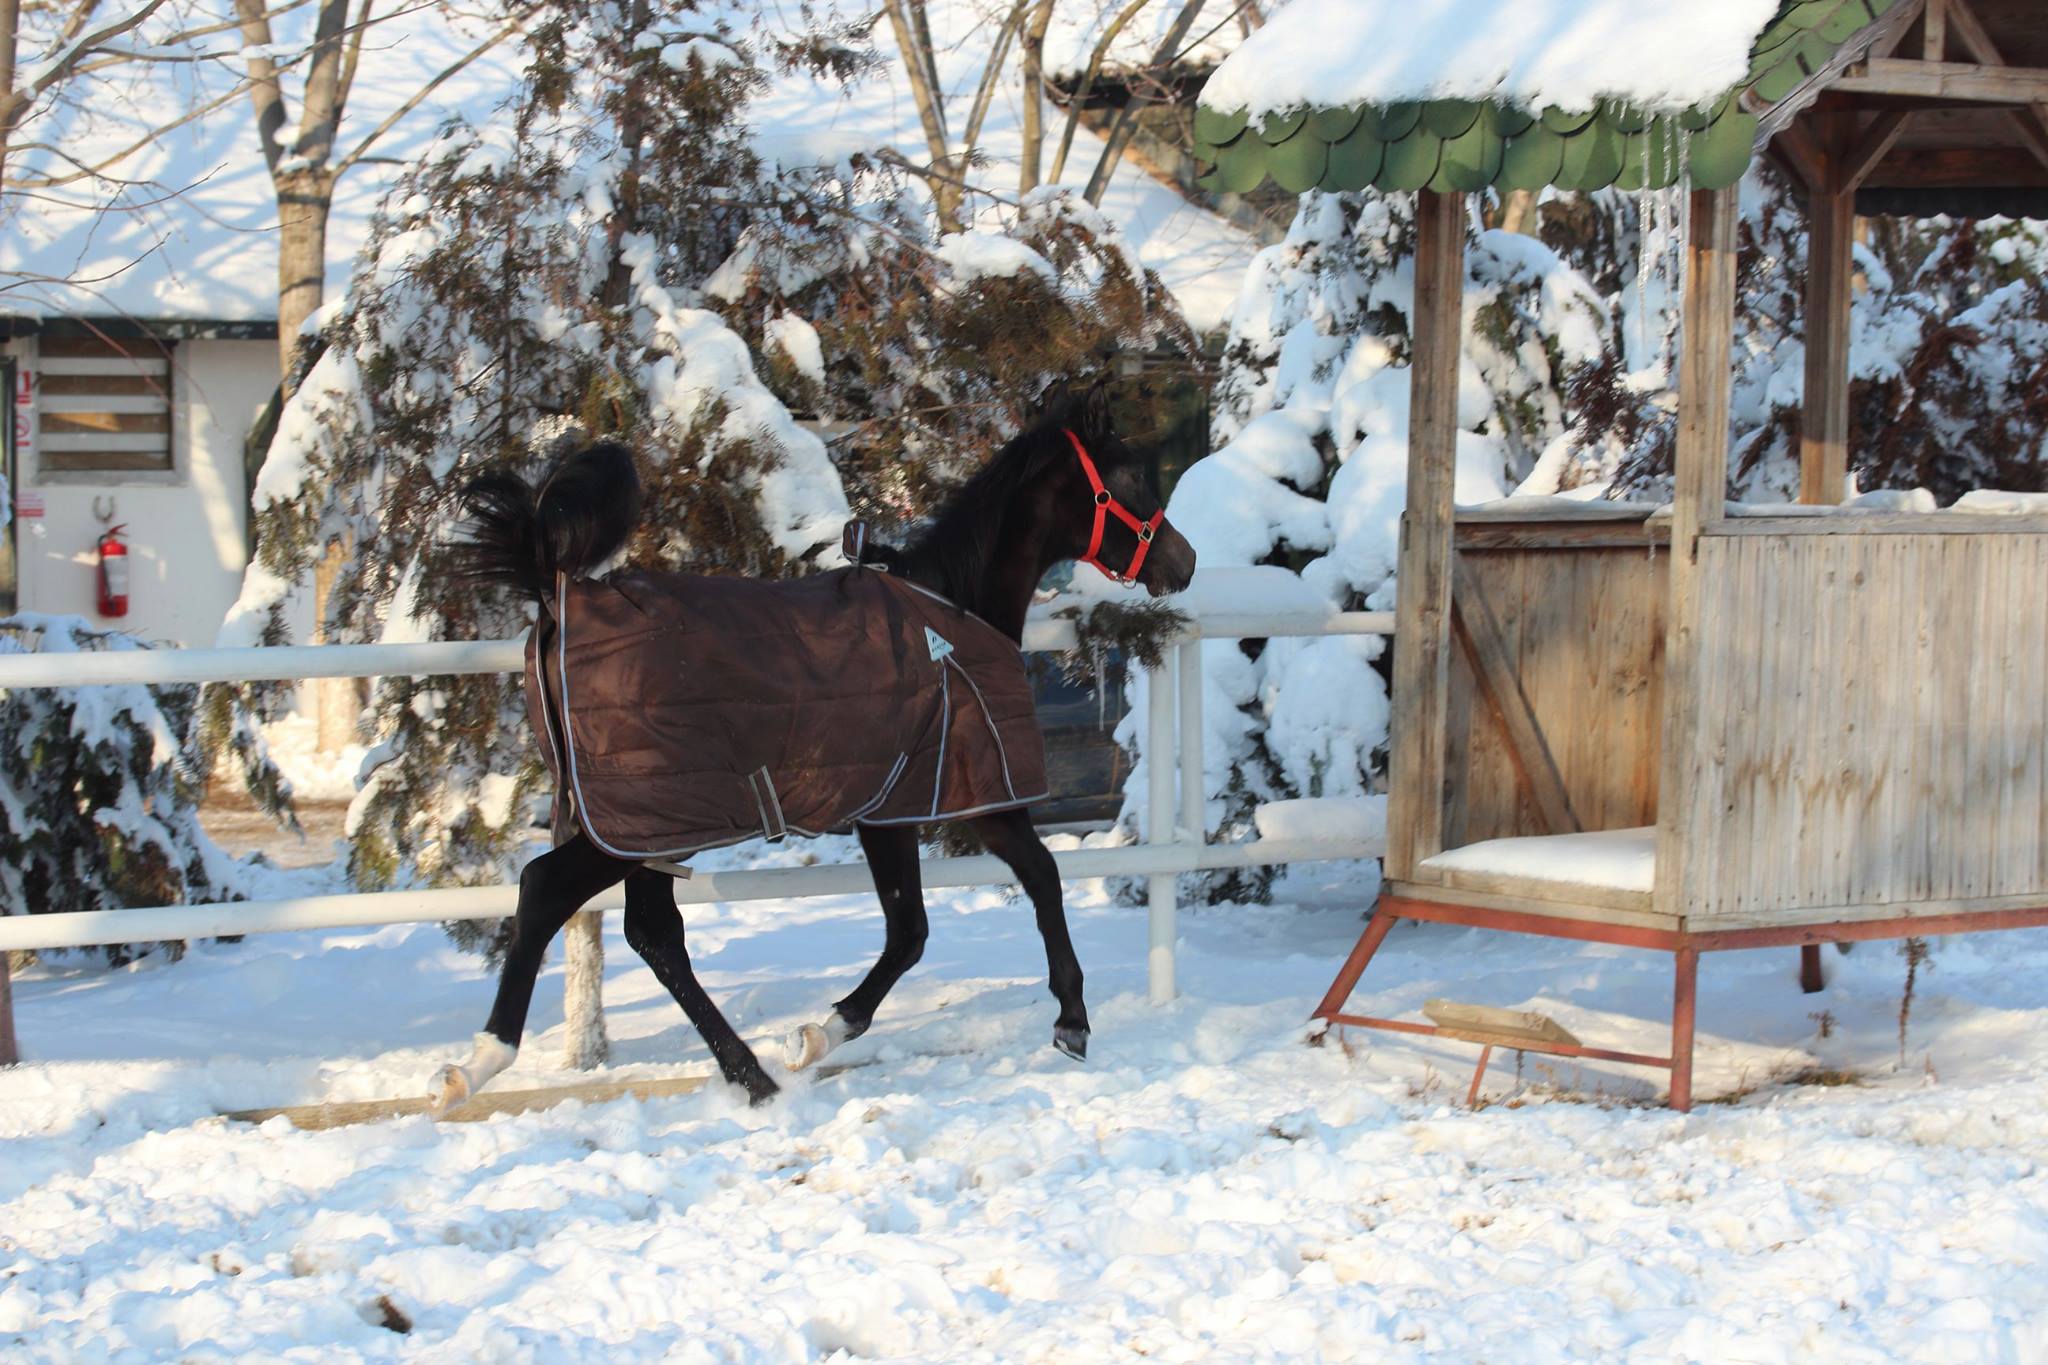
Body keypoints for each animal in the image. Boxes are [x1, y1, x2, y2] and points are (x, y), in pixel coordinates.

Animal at [427, 388, 1197, 1114]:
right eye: (1130, 475)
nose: (1183, 561)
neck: (952, 615)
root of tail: (554, 602)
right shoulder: (961, 797)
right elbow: (1013, 889)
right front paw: (1070, 1022)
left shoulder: (904, 807)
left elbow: (932, 919)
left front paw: (815, 1036)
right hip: (633, 823)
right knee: (545, 890)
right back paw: (473, 1067)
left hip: (652, 830)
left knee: (653, 932)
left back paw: (753, 1077)